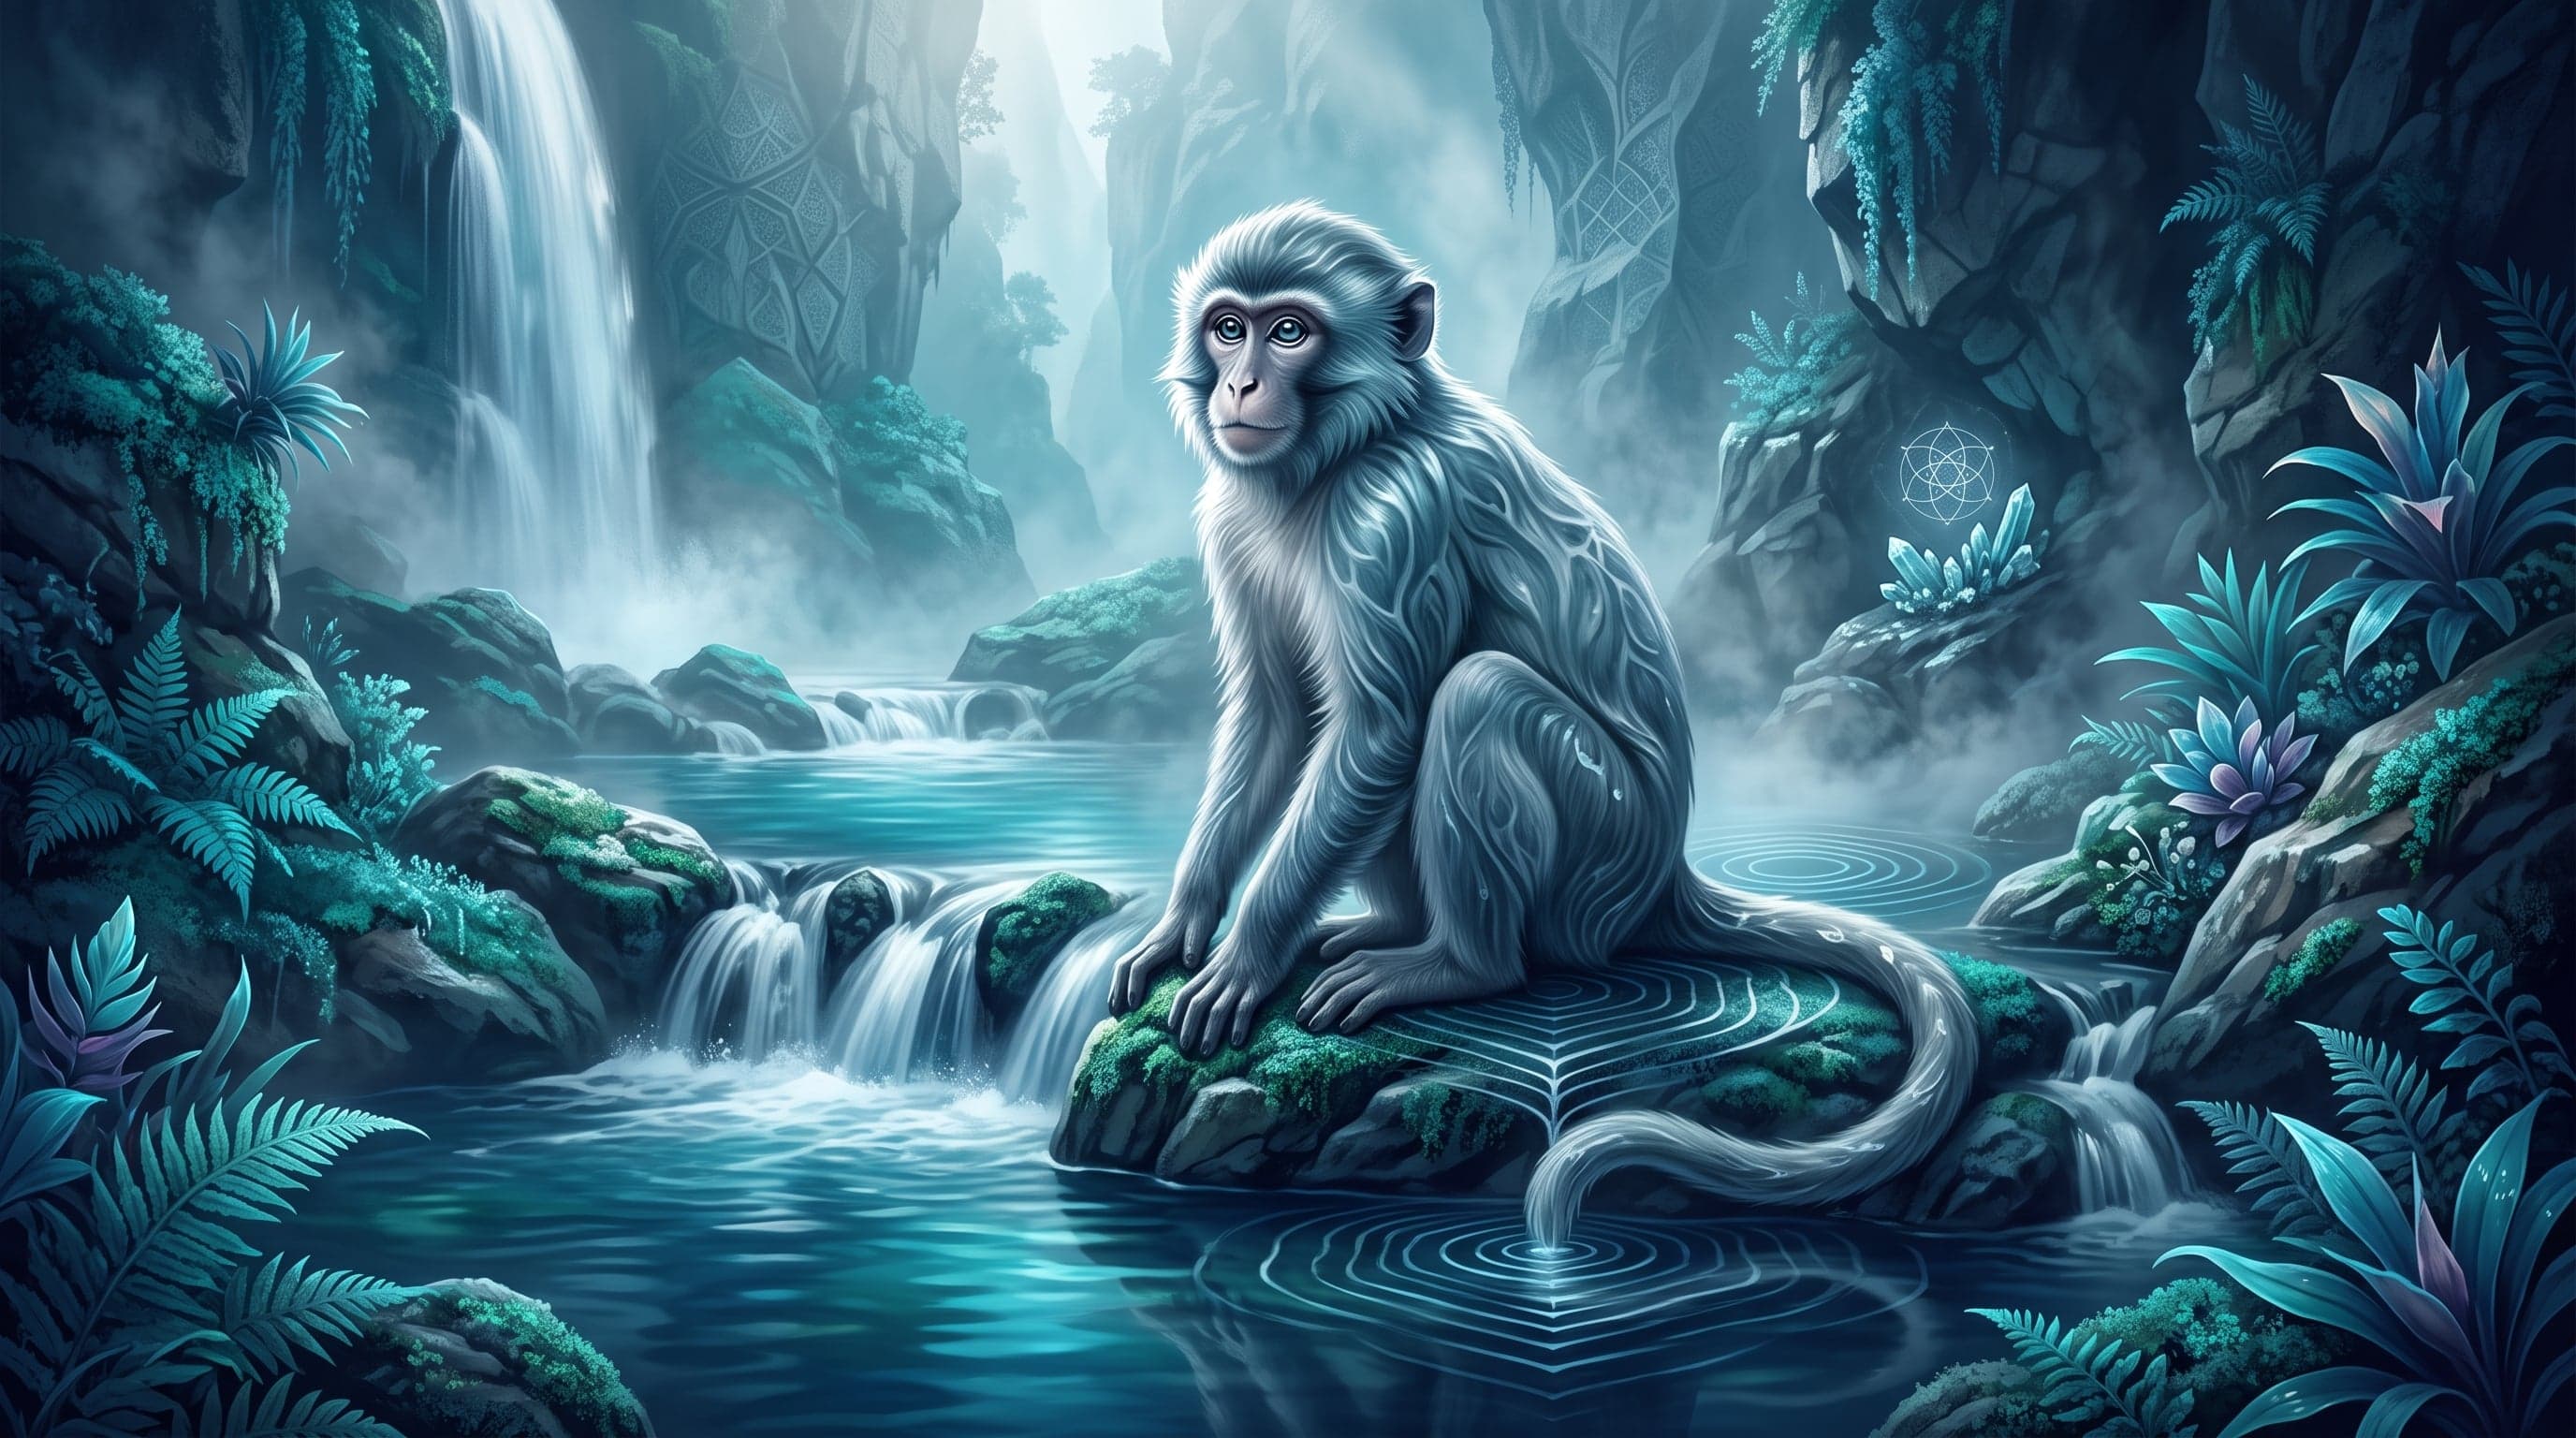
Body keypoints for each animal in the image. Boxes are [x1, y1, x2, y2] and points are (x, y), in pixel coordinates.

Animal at [1105, 203, 1977, 1244]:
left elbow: (1377, 730)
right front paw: (1185, 921)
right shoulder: (1233, 521)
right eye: (1228, 328)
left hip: (1601, 861)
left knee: (1475, 696)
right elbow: (1277, 720)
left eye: (1288, 332)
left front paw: (1244, 956)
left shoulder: (1392, 518)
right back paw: (1388, 927)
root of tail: (1665, 879)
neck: (1345, 450)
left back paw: (1456, 963)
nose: (1239, 383)